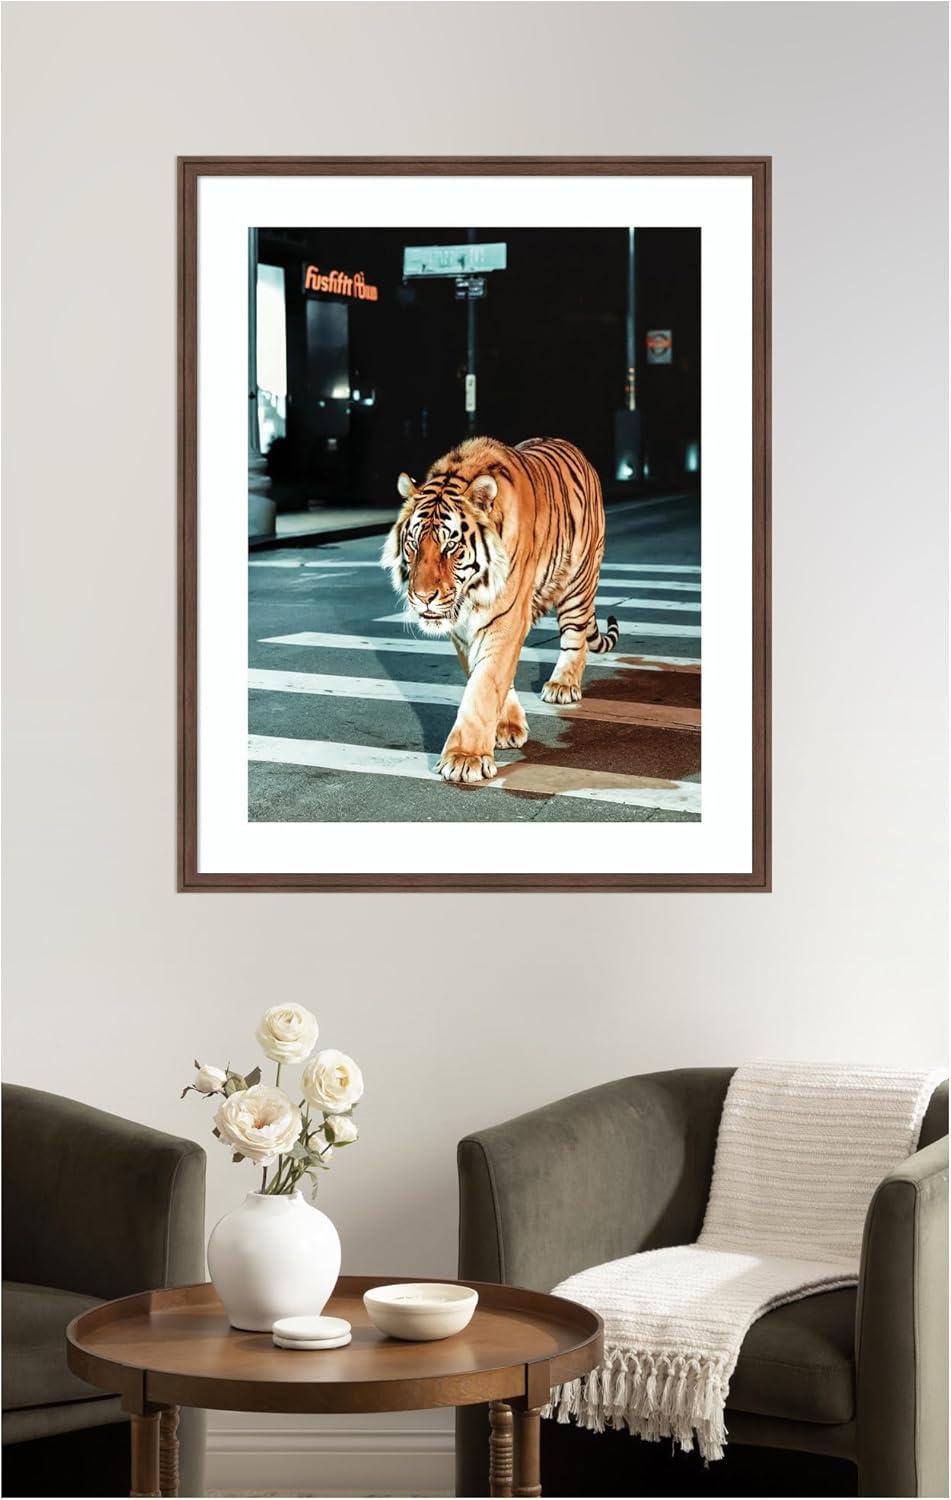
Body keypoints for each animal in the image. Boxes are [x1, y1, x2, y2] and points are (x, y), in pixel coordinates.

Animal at [381, 435, 619, 783]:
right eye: (413, 544)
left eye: (450, 546)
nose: (424, 597)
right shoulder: (463, 629)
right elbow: (488, 676)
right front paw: (506, 728)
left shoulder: (505, 618)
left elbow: (484, 684)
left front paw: (464, 758)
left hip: (578, 581)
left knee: (575, 639)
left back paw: (562, 685)